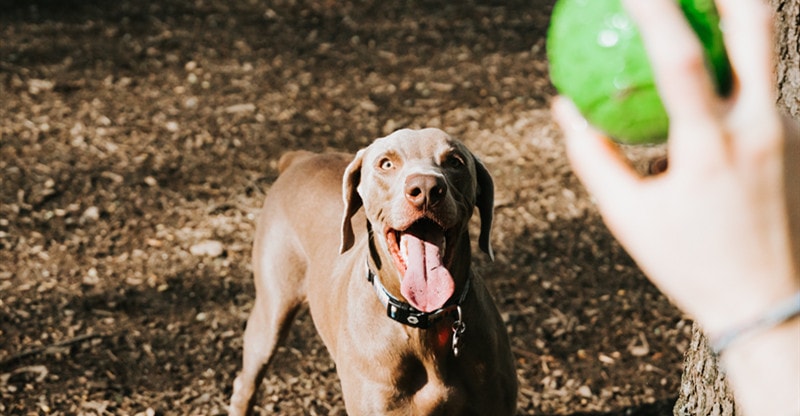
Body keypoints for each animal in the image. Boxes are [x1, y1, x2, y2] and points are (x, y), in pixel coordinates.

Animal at [230, 128, 520, 414]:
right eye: (386, 163)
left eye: (455, 162)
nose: (426, 188)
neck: (423, 324)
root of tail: (300, 159)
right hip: (270, 313)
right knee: (245, 383)